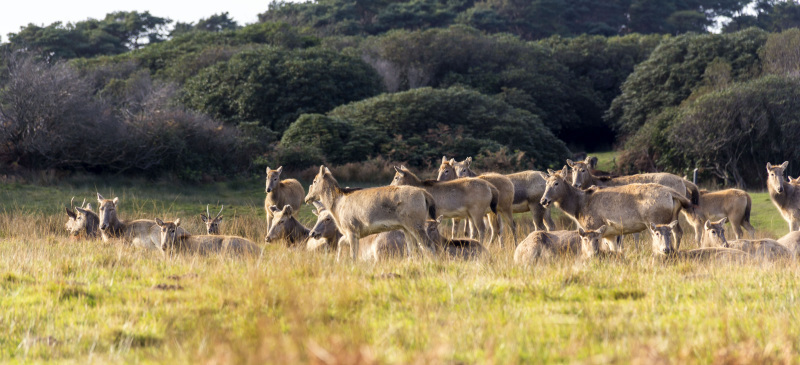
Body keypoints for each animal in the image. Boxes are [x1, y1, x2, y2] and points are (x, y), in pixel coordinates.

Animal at [304, 164, 438, 260]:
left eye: (314, 181)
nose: (306, 198)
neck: (337, 208)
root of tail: (425, 194)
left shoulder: (352, 228)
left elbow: (353, 255)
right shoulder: (352, 232)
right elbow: (341, 243)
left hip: (415, 223)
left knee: (428, 245)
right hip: (406, 227)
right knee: (414, 249)